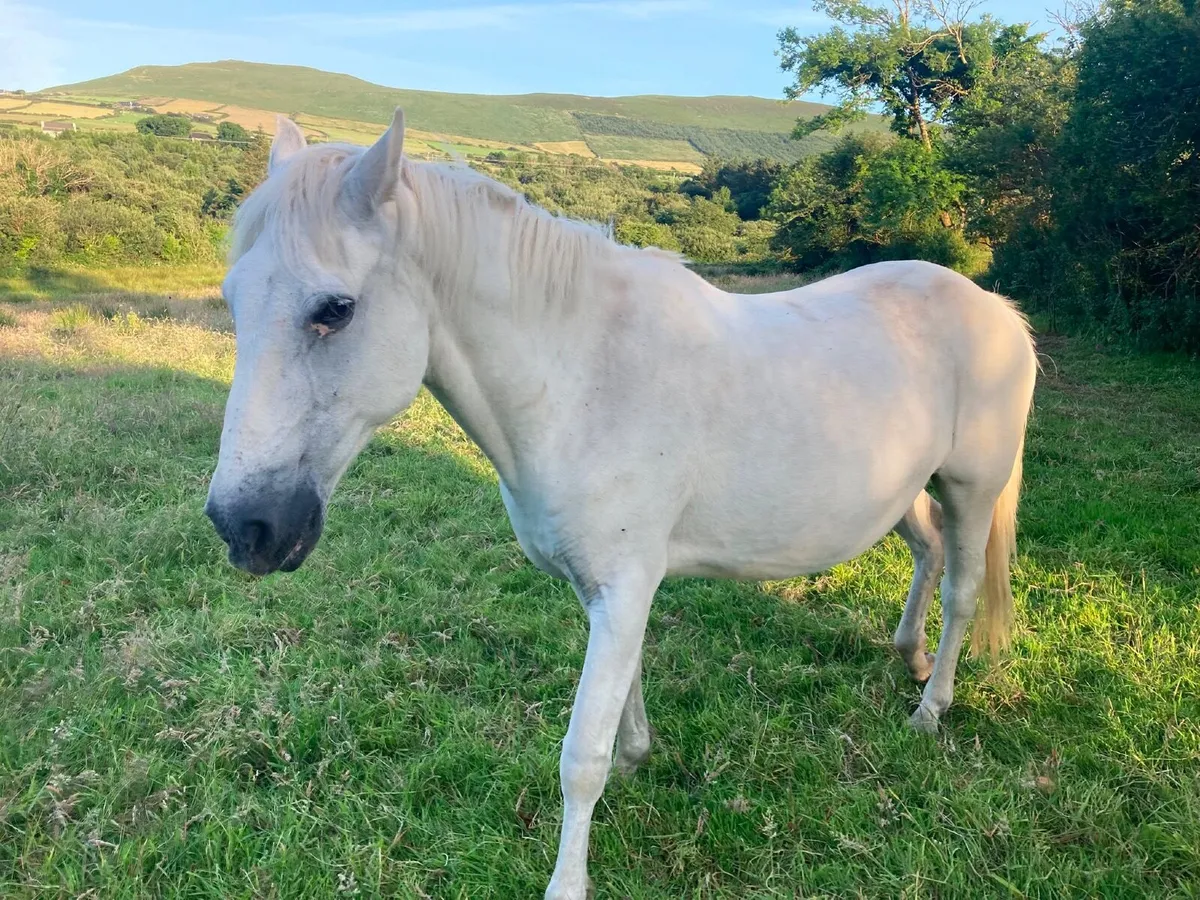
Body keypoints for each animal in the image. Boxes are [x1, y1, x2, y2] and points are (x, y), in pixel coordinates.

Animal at [205, 111, 1037, 899]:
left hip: (971, 488)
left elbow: (581, 754)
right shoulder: (605, 588)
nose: (244, 527)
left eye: (335, 309)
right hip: (907, 489)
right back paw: (908, 654)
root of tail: (997, 309)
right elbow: (623, 695)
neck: (580, 379)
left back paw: (931, 708)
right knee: (928, 550)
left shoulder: (624, 584)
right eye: (233, 302)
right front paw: (638, 756)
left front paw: (568, 880)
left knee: (963, 588)